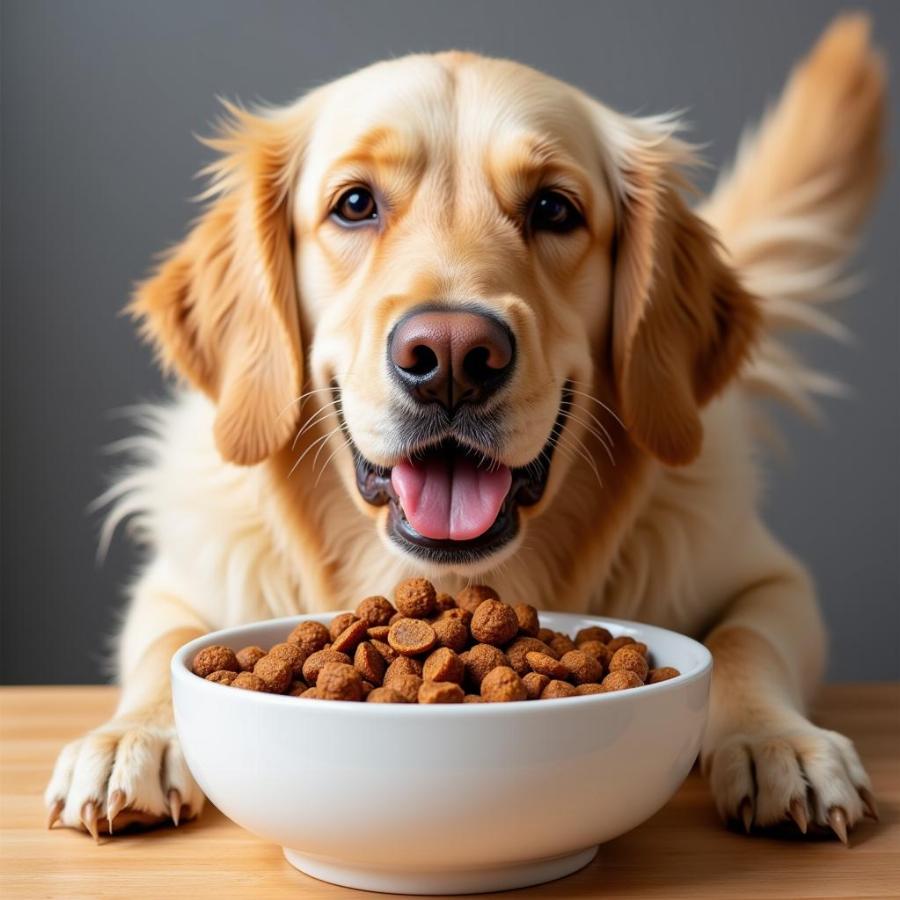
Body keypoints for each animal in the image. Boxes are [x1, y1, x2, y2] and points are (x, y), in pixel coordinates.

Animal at [45, 14, 884, 840]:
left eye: (554, 209)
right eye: (355, 204)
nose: (451, 357)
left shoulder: (767, 576)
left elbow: (745, 642)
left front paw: (780, 741)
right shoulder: (177, 582)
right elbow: (161, 648)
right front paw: (133, 737)